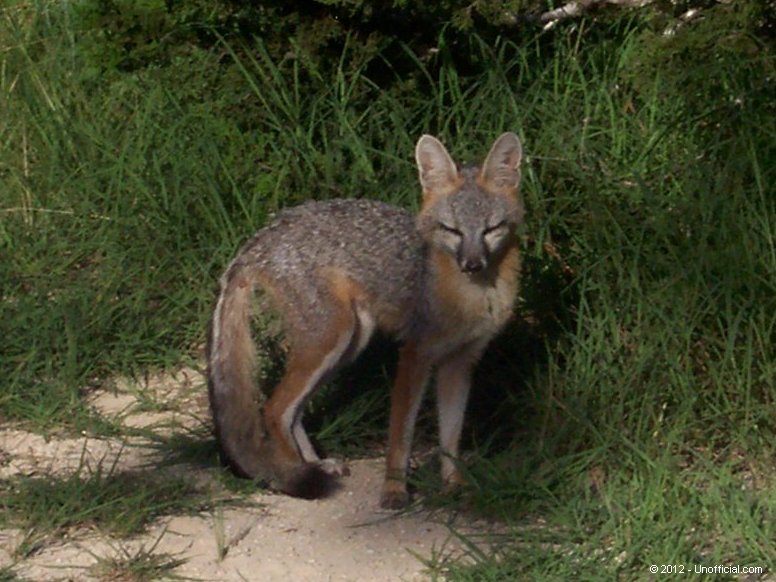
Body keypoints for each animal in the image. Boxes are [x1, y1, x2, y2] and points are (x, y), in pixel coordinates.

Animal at [206, 132, 524, 512]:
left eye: (491, 229)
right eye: (452, 230)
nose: (472, 264)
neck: (474, 296)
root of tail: (266, 233)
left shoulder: (460, 362)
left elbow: (451, 437)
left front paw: (454, 485)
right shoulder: (415, 356)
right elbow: (400, 436)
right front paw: (394, 490)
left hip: (349, 343)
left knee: (294, 411)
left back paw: (315, 464)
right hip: (331, 339)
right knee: (275, 409)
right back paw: (295, 473)